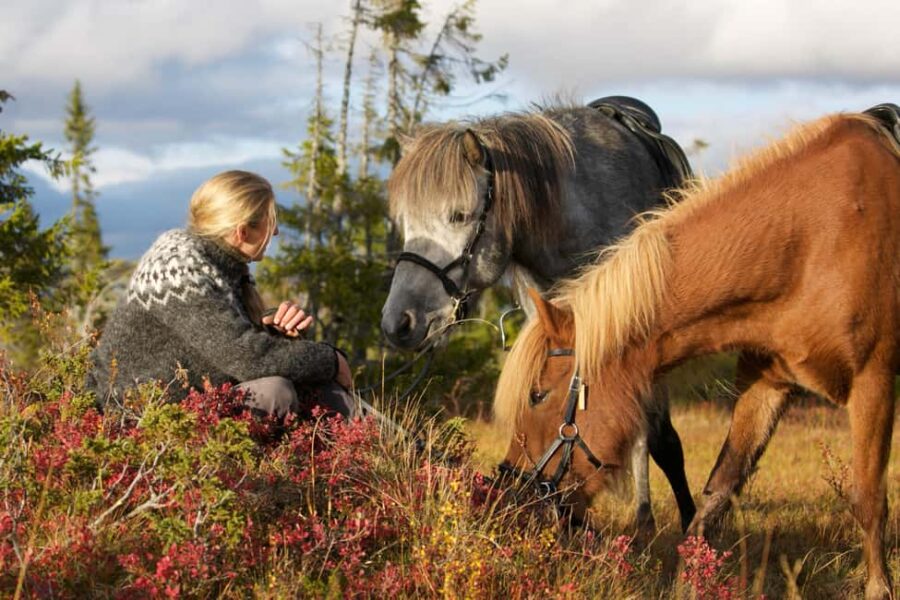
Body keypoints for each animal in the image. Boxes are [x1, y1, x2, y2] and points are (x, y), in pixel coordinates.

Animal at [381, 97, 696, 533]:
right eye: (404, 222)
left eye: (458, 216)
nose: (398, 323)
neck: (573, 214)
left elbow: (660, 439)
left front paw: (687, 525)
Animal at [494, 106, 900, 600]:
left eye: (538, 396)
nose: (509, 499)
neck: (814, 238)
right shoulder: (767, 384)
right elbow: (717, 492)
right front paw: (688, 582)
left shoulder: (874, 382)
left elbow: (868, 499)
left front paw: (879, 587)